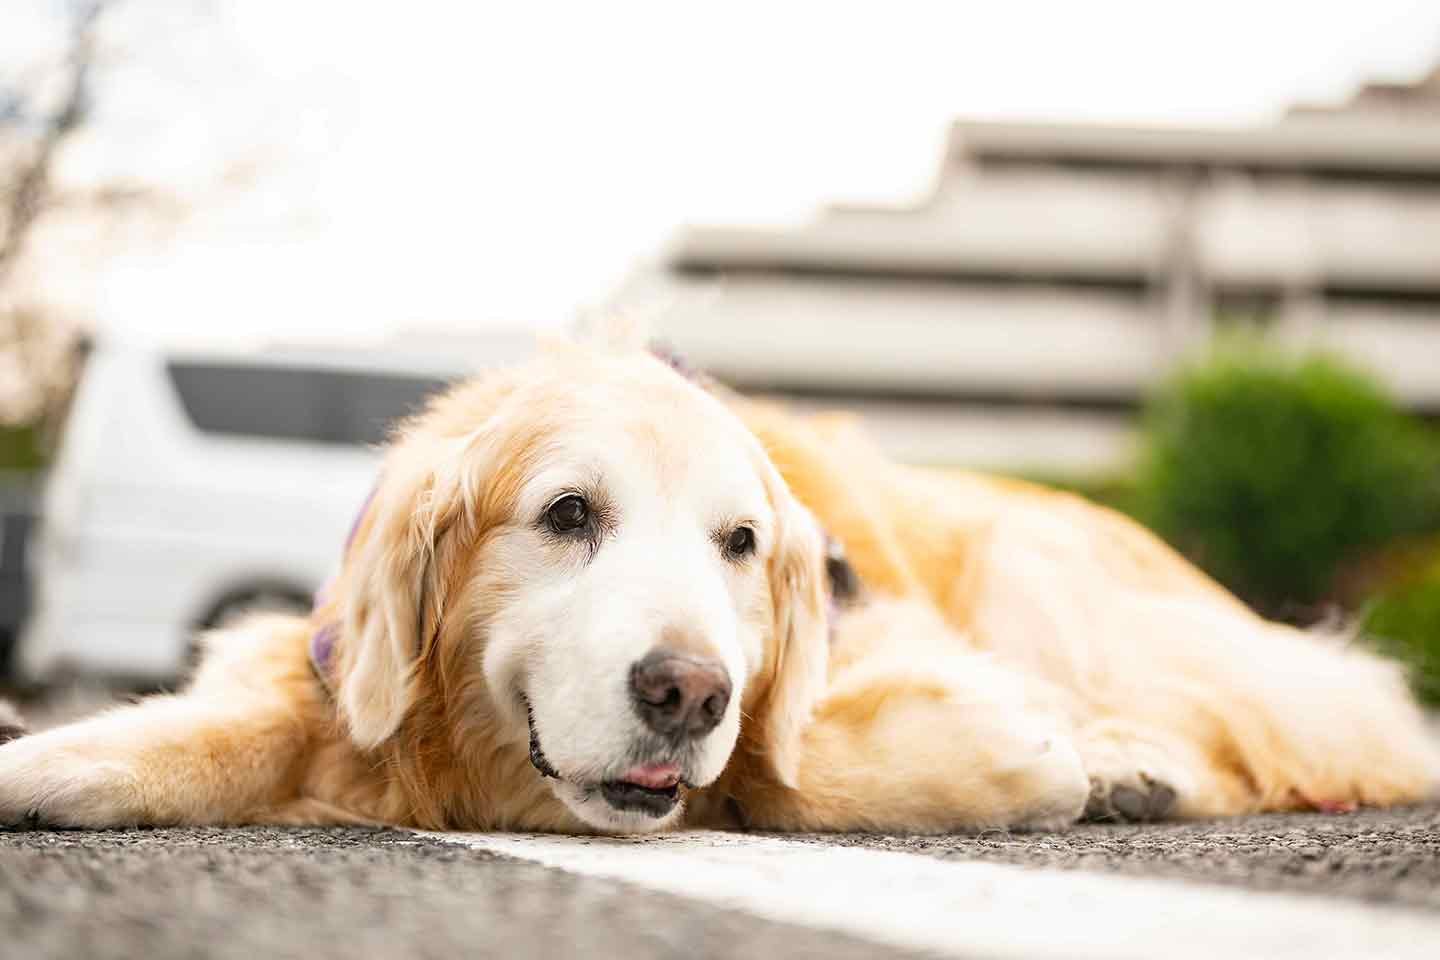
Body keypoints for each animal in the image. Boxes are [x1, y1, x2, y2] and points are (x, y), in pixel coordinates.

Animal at [2, 345, 1440, 834]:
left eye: (740, 543)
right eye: (567, 517)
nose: (688, 694)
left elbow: (787, 771)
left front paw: (1026, 759)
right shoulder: (335, 689)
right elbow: (189, 738)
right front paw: (41, 757)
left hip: (1037, 569)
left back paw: (1134, 763)